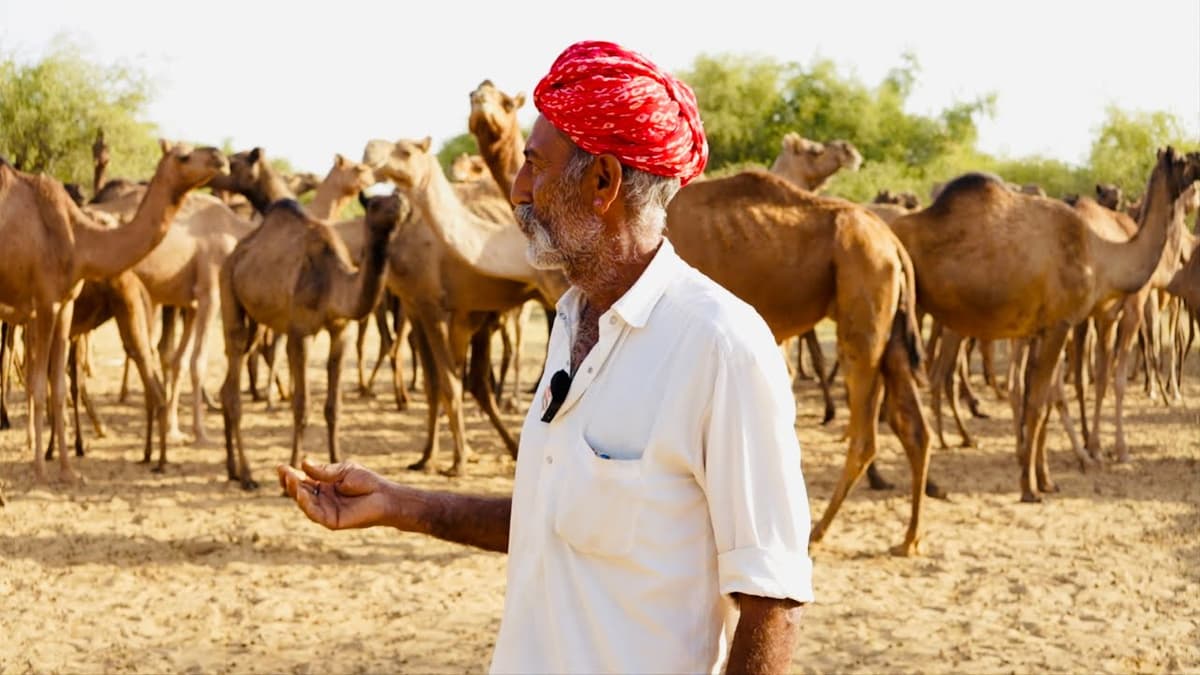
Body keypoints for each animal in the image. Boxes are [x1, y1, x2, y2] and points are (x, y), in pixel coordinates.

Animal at [0, 142, 226, 484]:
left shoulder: (65, 304)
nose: (219, 156)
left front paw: (68, 470)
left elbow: (60, 387)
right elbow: (38, 386)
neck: (79, 240)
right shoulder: (44, 302)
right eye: (183, 155)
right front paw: (39, 468)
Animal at [219, 192, 406, 488]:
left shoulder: (340, 331)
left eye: (397, 195)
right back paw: (247, 475)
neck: (332, 282)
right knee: (235, 371)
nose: (399, 204)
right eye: (375, 204)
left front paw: (338, 461)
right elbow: (301, 405)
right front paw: (294, 468)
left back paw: (232, 469)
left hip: (255, 321)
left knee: (228, 383)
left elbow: (334, 406)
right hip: (228, 289)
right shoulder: (300, 332)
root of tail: (234, 255)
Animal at [664, 168, 931, 556]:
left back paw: (816, 533)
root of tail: (893, 243)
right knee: (913, 429)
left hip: (864, 299)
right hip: (891, 331)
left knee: (865, 436)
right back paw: (909, 539)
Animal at [889, 149, 1199, 501]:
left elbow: (1040, 402)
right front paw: (1030, 487)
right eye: (1186, 160)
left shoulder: (1041, 328)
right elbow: (1040, 403)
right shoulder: (1062, 324)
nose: (1199, 167)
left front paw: (1045, 478)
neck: (1102, 256)